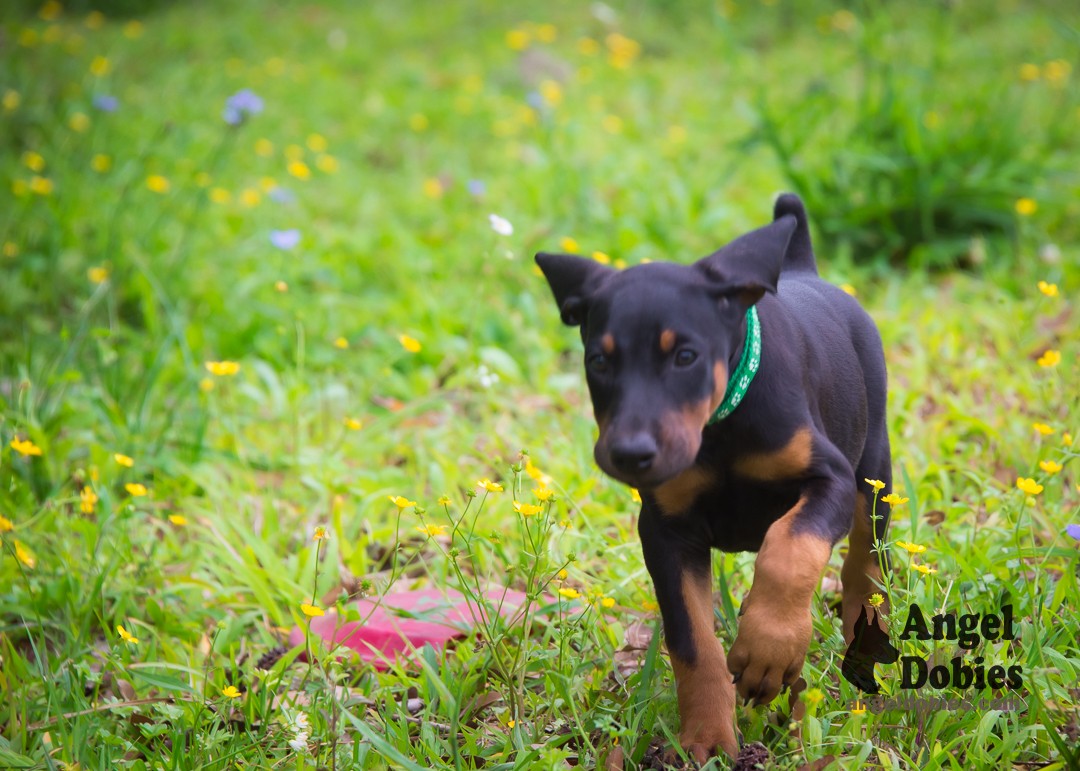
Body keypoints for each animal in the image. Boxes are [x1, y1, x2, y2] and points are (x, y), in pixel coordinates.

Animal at [533, 192, 894, 755]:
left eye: (686, 356)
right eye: (598, 361)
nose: (629, 454)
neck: (720, 426)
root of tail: (802, 268)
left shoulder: (828, 479)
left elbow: (791, 548)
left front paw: (768, 650)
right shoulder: (665, 530)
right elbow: (693, 641)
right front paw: (705, 739)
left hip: (872, 470)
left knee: (865, 564)